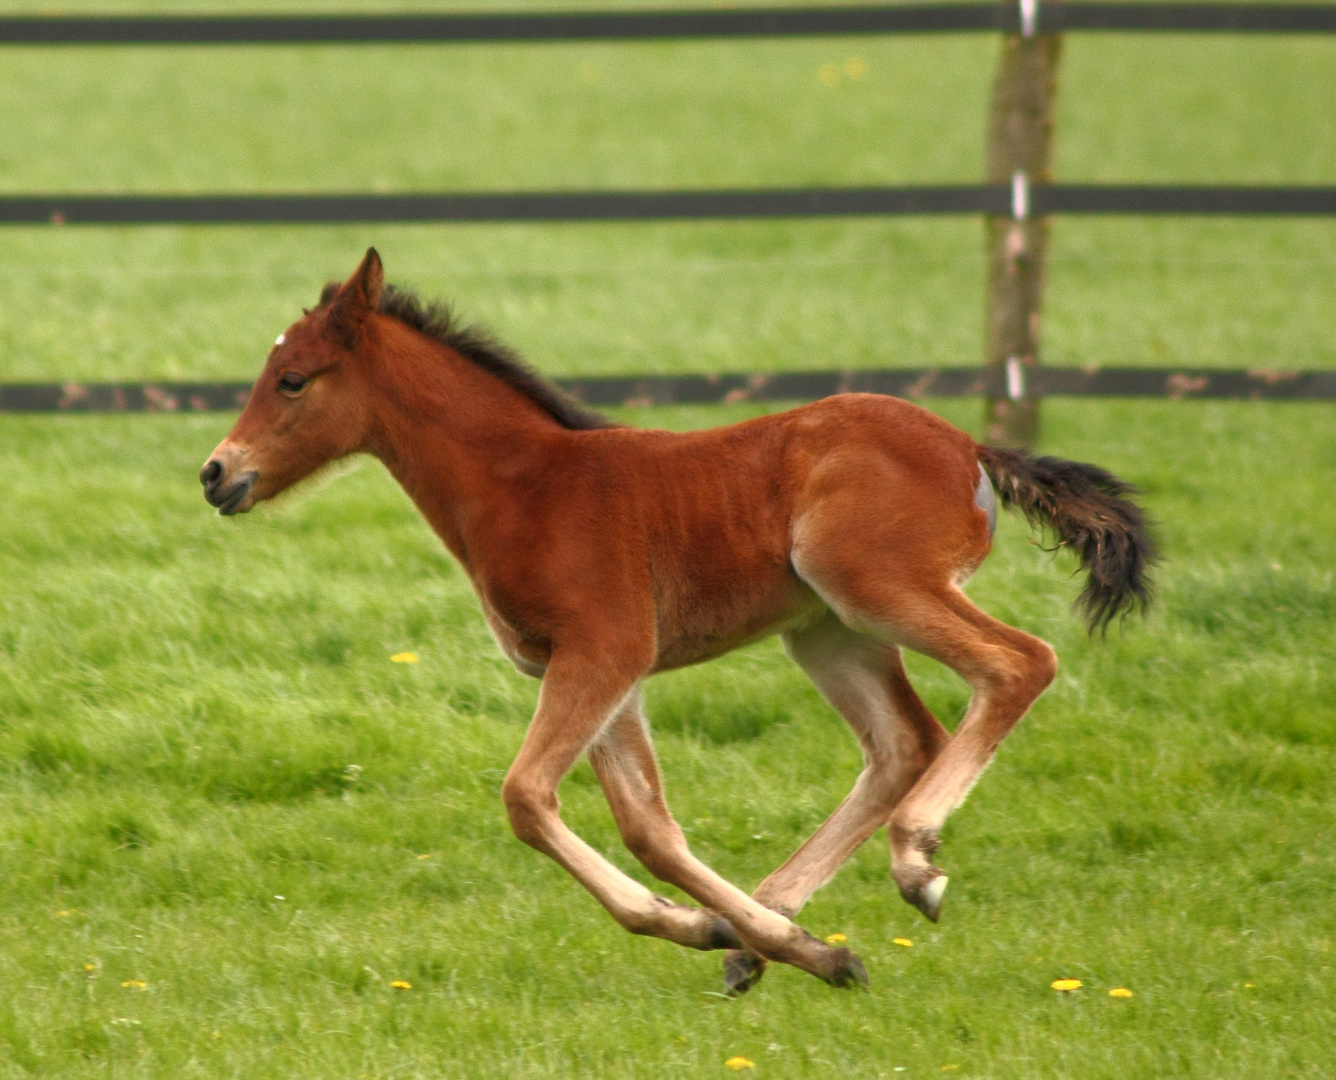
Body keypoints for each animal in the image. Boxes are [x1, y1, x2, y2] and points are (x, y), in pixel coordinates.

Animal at [203, 248, 1154, 989]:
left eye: (292, 380)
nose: (217, 473)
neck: (527, 485)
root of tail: (971, 449)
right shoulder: (594, 669)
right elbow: (648, 827)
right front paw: (754, 939)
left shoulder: (605, 651)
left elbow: (527, 798)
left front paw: (741, 933)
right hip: (826, 629)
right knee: (901, 742)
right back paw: (774, 925)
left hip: (874, 587)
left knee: (1018, 662)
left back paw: (916, 861)